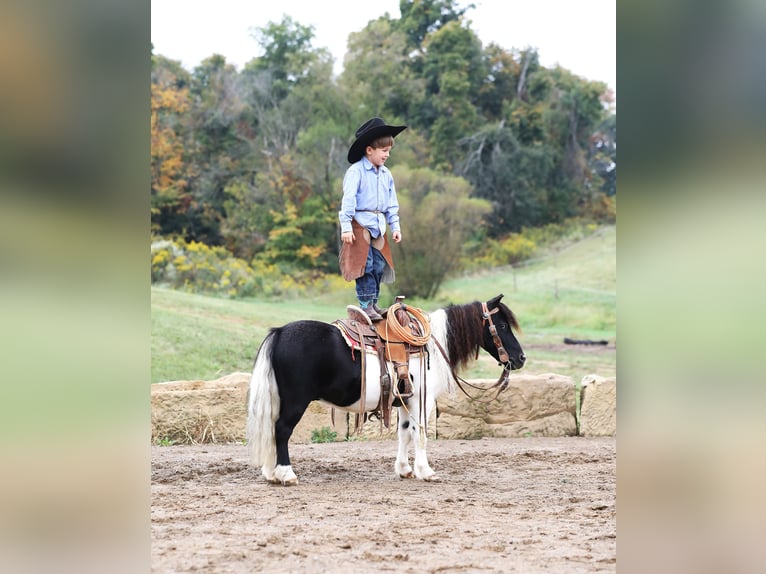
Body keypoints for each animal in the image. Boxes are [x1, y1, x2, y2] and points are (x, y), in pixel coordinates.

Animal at [249, 292, 524, 486]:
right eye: (501, 326)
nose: (521, 358)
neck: (430, 347)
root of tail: (280, 332)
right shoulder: (421, 401)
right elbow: (420, 434)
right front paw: (426, 471)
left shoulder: (404, 400)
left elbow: (404, 433)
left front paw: (405, 469)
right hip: (296, 401)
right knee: (282, 430)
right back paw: (286, 474)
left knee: (272, 430)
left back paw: (270, 472)